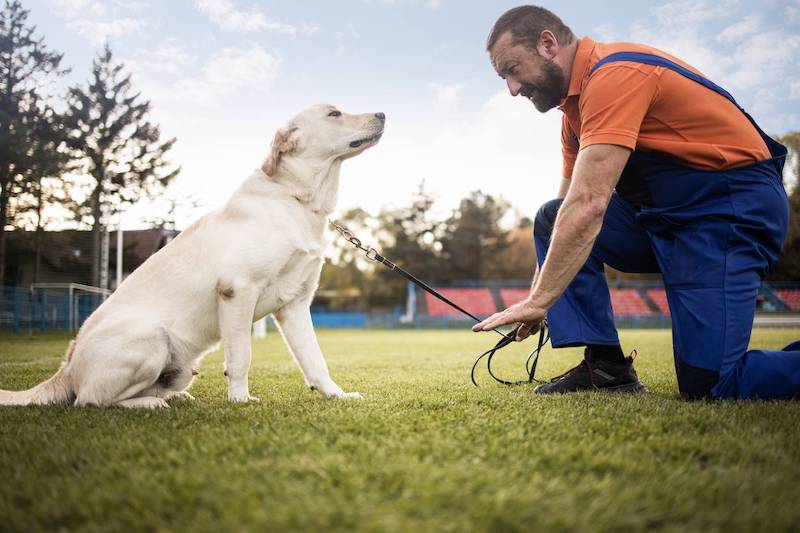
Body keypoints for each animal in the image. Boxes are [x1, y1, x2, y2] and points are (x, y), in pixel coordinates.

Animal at [0, 104, 384, 408]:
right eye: (334, 113)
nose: (382, 114)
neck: (297, 199)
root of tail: (66, 366)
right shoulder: (237, 290)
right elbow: (242, 357)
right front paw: (240, 400)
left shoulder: (295, 305)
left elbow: (315, 360)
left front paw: (336, 395)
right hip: (151, 337)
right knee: (90, 400)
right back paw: (150, 404)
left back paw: (172, 395)